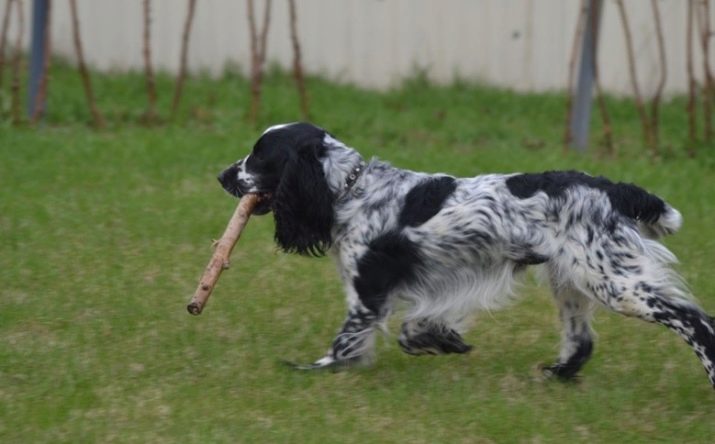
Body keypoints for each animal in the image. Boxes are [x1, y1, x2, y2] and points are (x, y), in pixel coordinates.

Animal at [220, 122, 715, 388]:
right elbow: (412, 328)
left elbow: (344, 344)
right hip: (570, 277)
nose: (223, 174)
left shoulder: (368, 291)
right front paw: (442, 340)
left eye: (259, 157)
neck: (350, 190)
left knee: (694, 320)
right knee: (581, 339)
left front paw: (311, 370)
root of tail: (611, 188)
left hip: (615, 281)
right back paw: (556, 374)